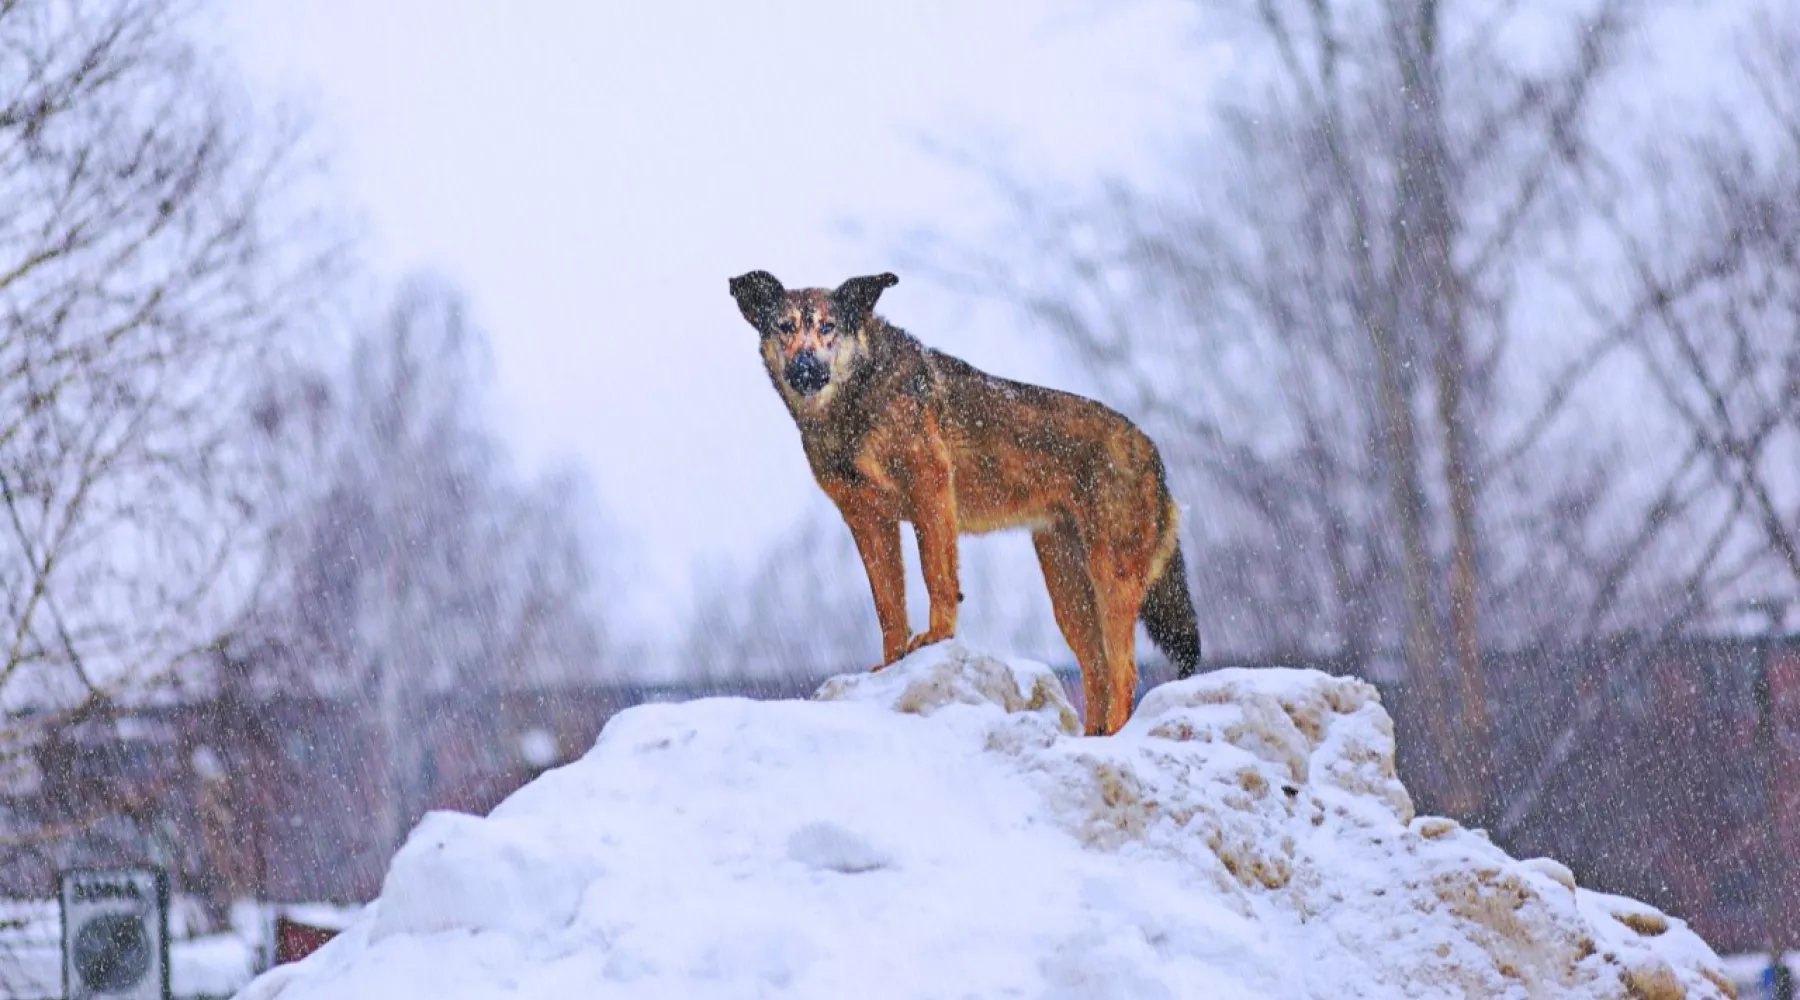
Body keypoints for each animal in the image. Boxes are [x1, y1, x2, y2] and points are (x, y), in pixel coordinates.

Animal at [723, 267, 1202, 733]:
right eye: (785, 327)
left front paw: (936, 638)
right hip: (1067, 591)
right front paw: (892, 662)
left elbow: (937, 577)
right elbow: (888, 605)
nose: (805, 366)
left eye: (828, 327)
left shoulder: (930, 492)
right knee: (1097, 672)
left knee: (1125, 673)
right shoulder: (867, 520)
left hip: (1110, 577)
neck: (856, 398)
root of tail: (1151, 449)